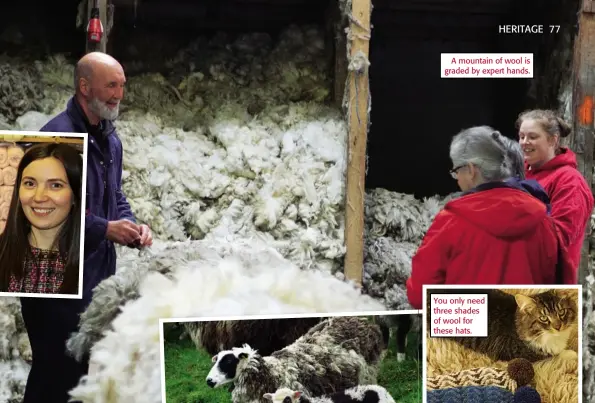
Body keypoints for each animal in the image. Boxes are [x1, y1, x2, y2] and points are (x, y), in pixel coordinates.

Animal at [207, 318, 388, 403]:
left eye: (228, 362)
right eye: (216, 360)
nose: (208, 381)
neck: (269, 374)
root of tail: (365, 323)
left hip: (368, 375)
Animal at [426, 288, 580, 362]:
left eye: (561, 312)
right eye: (543, 318)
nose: (558, 326)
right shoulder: (512, 352)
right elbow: (551, 356)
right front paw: (571, 354)